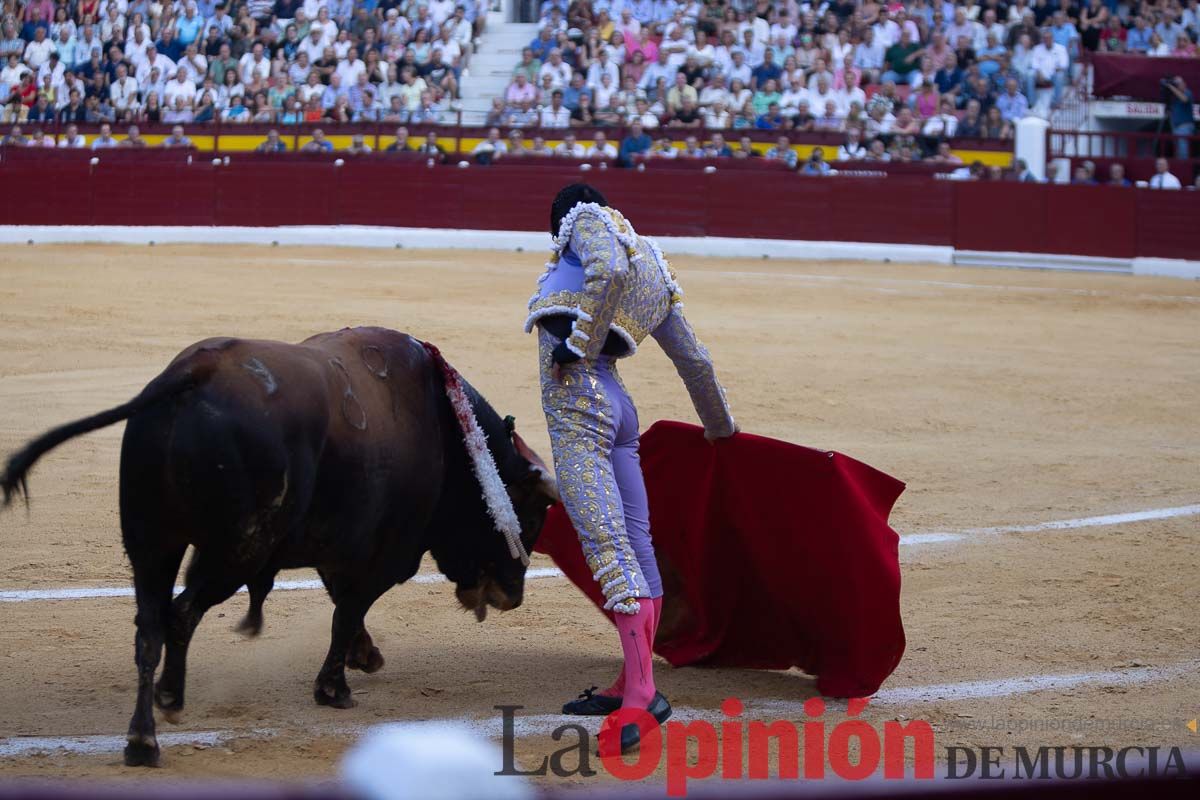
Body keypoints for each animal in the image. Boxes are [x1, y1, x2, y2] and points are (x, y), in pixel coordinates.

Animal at [0, 326, 559, 767]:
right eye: (531, 519)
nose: (514, 595)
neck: (447, 432)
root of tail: (191, 373)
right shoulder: (385, 555)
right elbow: (347, 610)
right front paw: (334, 688)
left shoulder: (341, 548)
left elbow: (343, 605)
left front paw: (364, 658)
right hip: (233, 550)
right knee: (181, 614)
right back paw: (170, 701)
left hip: (151, 543)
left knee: (149, 627)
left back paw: (143, 739)